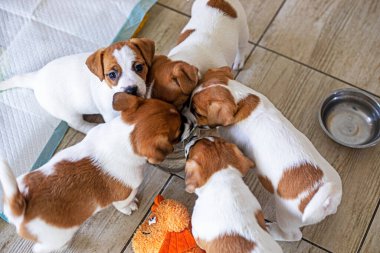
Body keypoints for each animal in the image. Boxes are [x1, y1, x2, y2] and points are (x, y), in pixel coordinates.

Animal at [0, 38, 155, 133]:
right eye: (112, 75)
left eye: (139, 67)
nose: (131, 90)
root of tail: (36, 77)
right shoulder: (110, 114)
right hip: (68, 113)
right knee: (77, 124)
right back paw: (92, 127)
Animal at [0, 93, 190, 253]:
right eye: (179, 130)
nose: (189, 120)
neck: (124, 136)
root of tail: (20, 206)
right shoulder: (125, 194)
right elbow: (124, 204)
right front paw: (130, 207)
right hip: (56, 237)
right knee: (41, 248)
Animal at [186, 66, 342, 241]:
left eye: (197, 112)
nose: (187, 116)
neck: (239, 99)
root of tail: (328, 200)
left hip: (286, 217)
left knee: (293, 235)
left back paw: (272, 230)